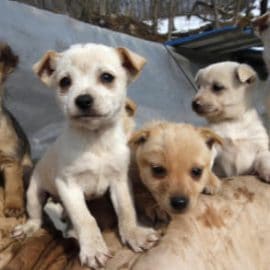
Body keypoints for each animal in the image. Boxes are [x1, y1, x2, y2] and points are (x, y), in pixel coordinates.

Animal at [12, 43, 158, 268]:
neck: (95, 140)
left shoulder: (119, 182)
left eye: (107, 77)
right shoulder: (69, 186)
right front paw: (93, 249)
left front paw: (134, 234)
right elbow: (85, 219)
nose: (83, 100)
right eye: (65, 81)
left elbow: (126, 210)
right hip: (35, 194)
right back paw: (29, 228)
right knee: (36, 216)